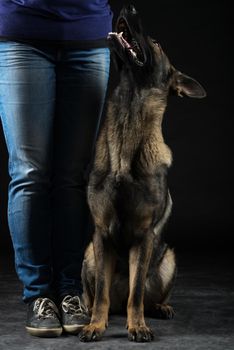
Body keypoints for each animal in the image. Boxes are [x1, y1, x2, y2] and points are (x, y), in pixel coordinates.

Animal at [79, 3, 206, 342]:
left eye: (157, 43)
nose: (129, 6)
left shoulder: (143, 237)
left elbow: (136, 292)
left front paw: (137, 326)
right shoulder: (101, 235)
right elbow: (101, 291)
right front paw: (96, 325)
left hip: (168, 258)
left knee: (147, 296)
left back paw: (159, 308)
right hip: (90, 254)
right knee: (96, 295)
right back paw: (88, 312)